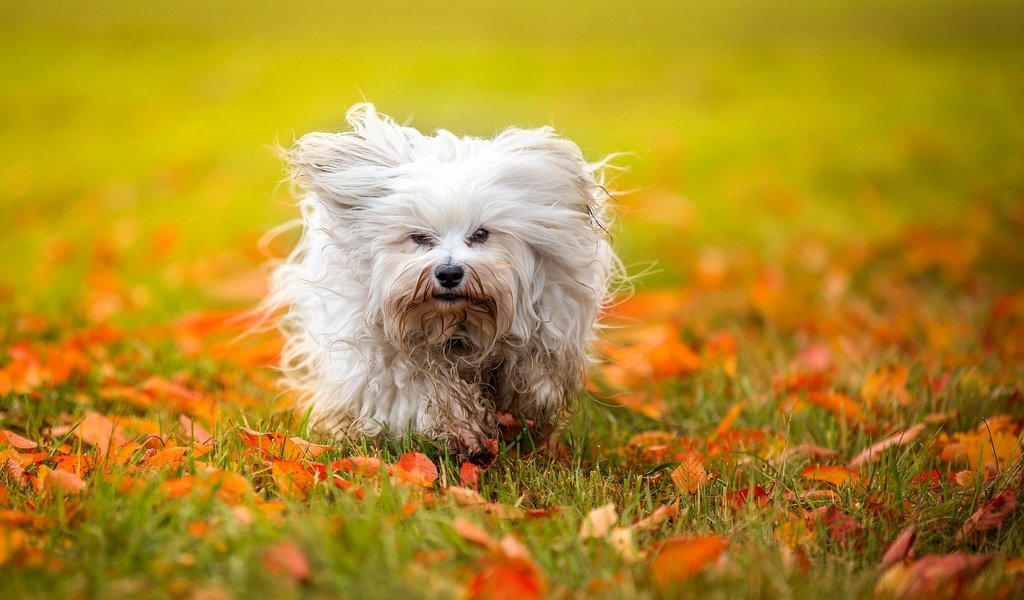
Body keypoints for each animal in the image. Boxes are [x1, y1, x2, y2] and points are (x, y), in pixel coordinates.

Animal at [268, 102, 618, 460]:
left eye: (481, 234)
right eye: (419, 237)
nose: (449, 273)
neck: (455, 324)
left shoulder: (550, 322)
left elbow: (532, 375)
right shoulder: (387, 355)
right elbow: (422, 387)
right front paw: (463, 431)